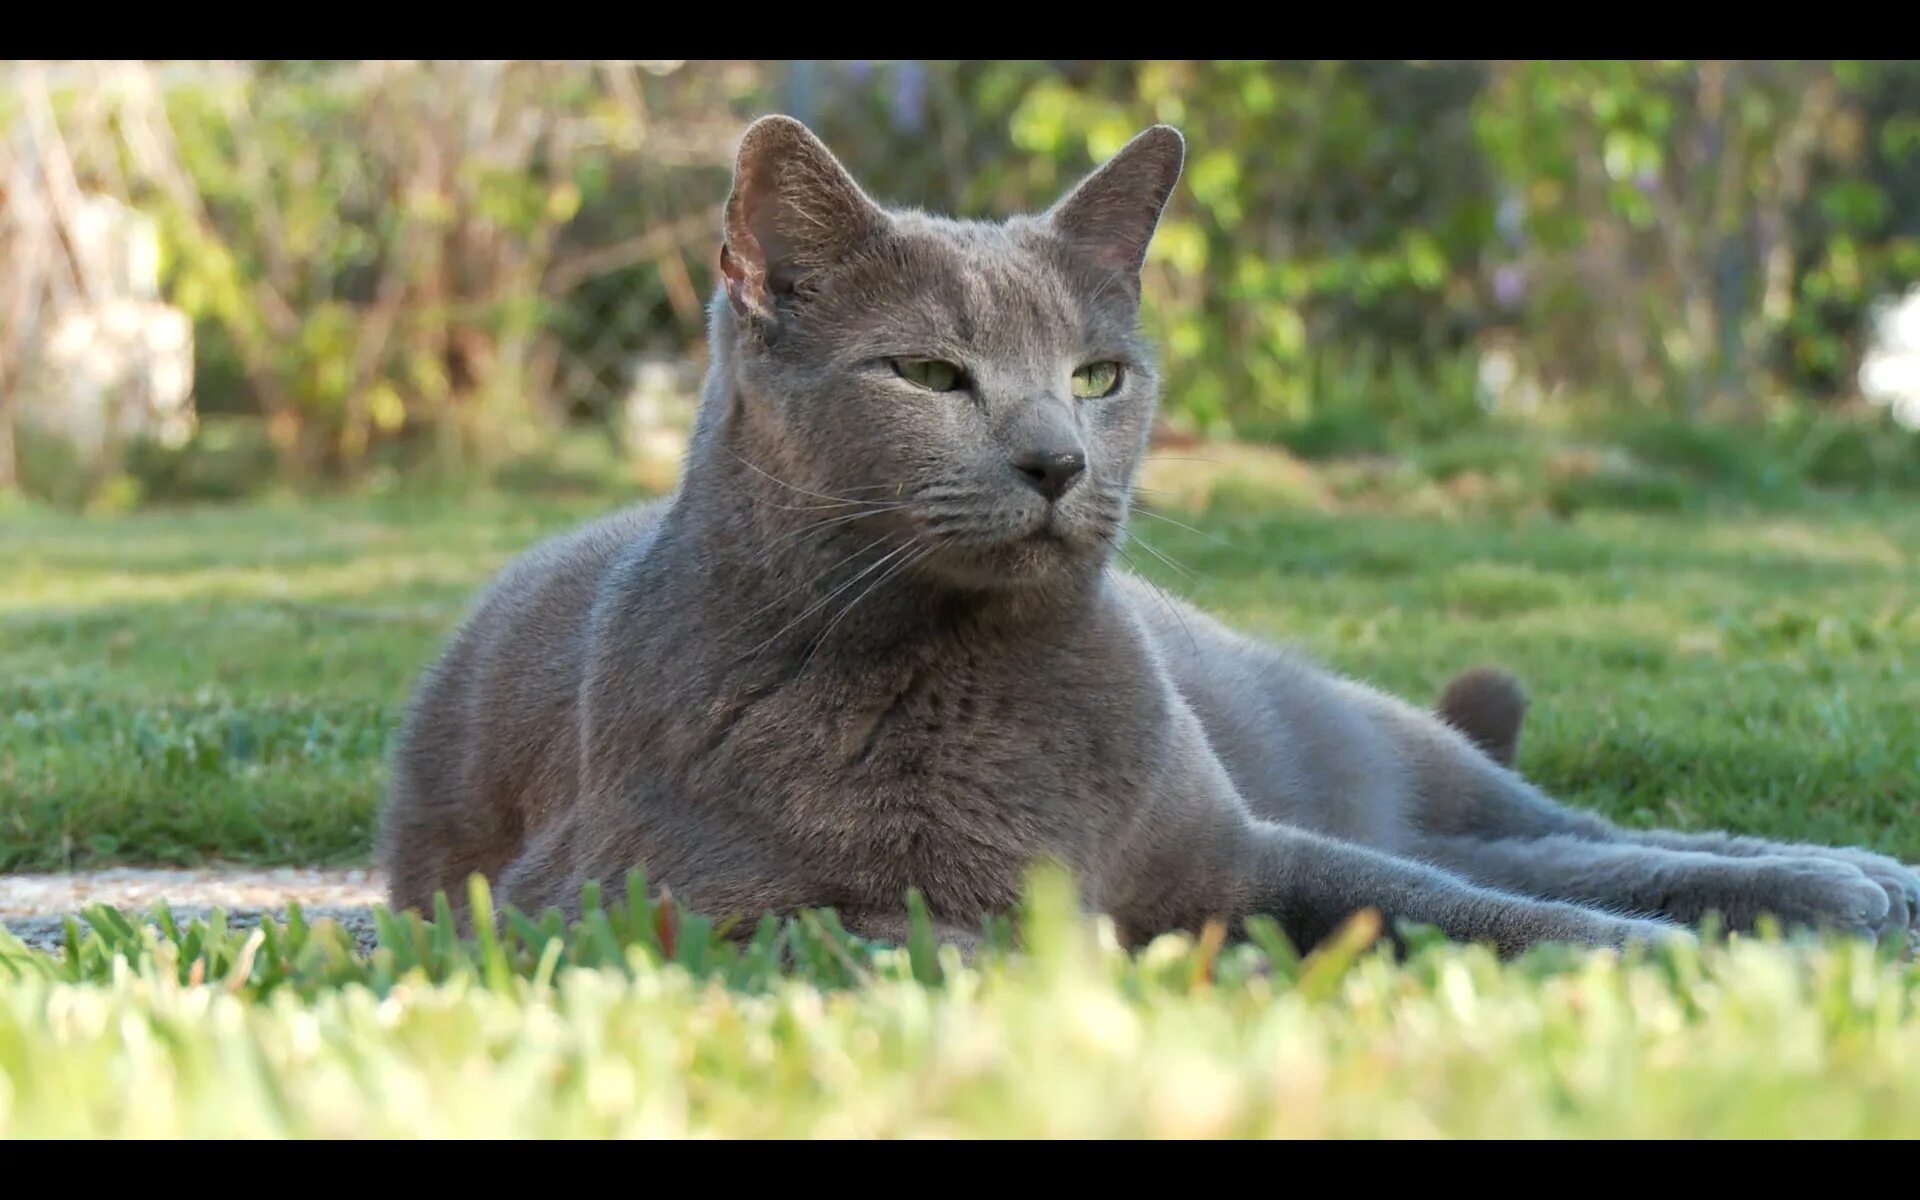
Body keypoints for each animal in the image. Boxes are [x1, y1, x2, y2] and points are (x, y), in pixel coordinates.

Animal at [378, 117, 1920, 960]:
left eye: (1097, 375)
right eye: (928, 375)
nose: (1058, 460)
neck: (963, 677)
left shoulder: (1239, 850)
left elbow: (1463, 907)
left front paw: (1668, 963)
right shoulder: (615, 899)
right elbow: (864, 922)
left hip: (1370, 743)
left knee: (1540, 840)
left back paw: (1843, 882)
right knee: (1509, 849)